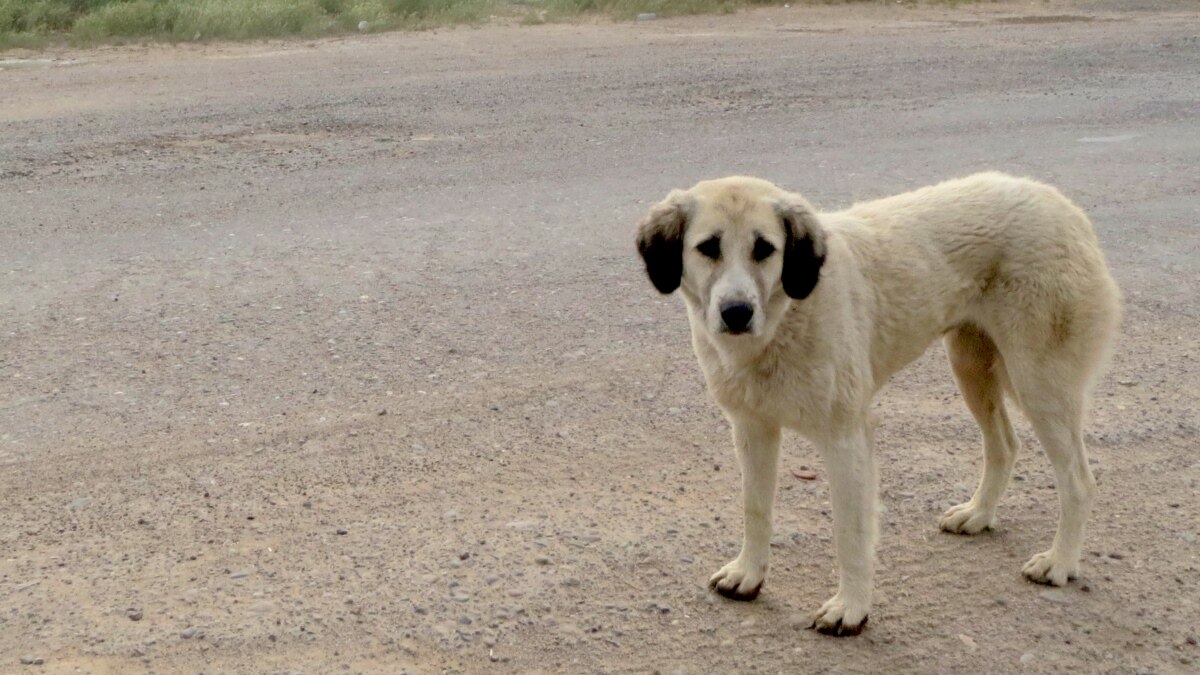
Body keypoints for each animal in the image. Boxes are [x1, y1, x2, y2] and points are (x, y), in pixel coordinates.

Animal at [638, 170, 1123, 634]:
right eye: (708, 248)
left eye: (765, 250)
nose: (736, 313)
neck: (788, 313)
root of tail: (1061, 204)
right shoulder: (752, 428)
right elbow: (755, 509)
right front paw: (749, 574)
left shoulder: (846, 440)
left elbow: (850, 532)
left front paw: (850, 609)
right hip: (971, 368)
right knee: (1004, 444)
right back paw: (978, 514)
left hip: (1040, 384)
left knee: (1079, 481)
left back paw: (1060, 563)